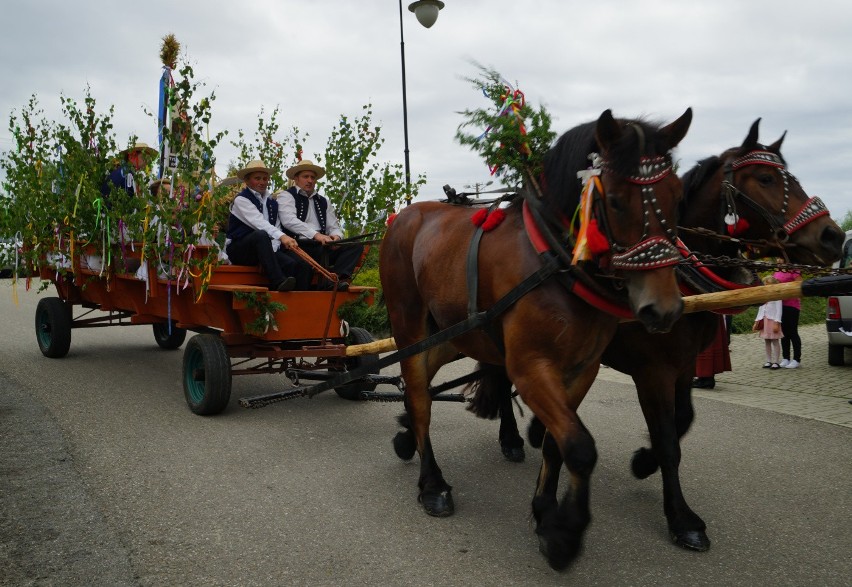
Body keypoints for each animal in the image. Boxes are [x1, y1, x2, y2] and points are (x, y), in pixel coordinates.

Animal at [382, 108, 696, 572]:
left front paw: (545, 510)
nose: (664, 310)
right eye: (616, 200)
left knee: (421, 375)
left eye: (676, 195)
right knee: (421, 396)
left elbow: (555, 443)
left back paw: (407, 437)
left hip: (455, 332)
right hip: (408, 322)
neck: (555, 262)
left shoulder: (581, 369)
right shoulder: (531, 368)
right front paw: (565, 533)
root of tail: (404, 216)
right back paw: (432, 483)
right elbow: (580, 447)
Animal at [450, 118, 844, 556]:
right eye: (766, 178)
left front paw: (642, 461)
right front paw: (681, 517)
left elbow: (683, 421)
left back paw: (531, 432)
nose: (833, 236)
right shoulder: (653, 372)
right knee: (502, 382)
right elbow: (669, 439)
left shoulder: (684, 366)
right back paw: (512, 438)